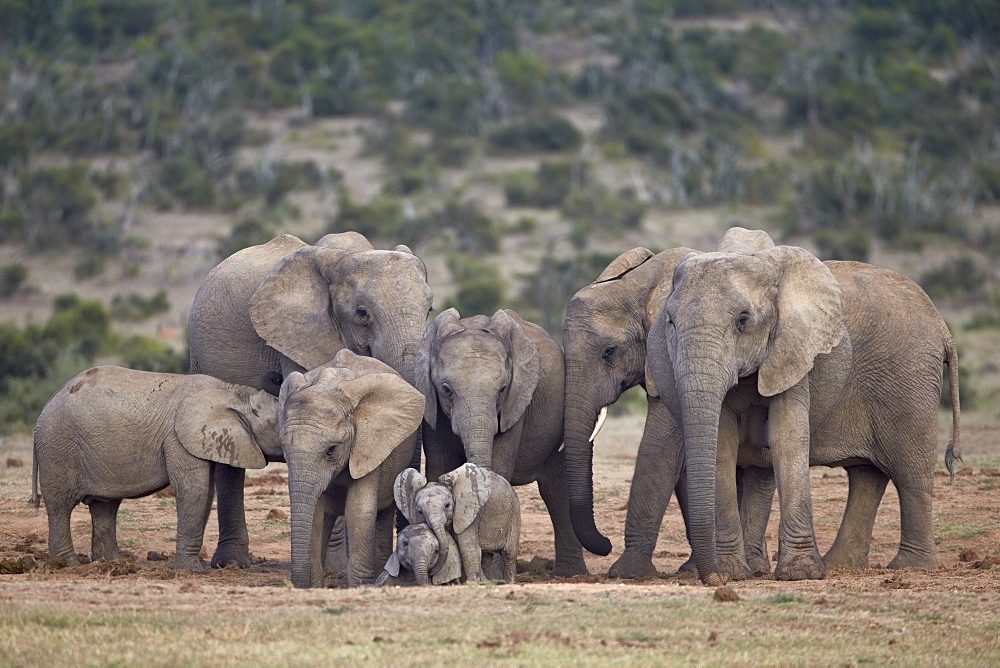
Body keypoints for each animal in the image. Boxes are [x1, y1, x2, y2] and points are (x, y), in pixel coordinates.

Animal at [31, 366, 282, 568]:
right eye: (276, 424)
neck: (234, 392)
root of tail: (47, 403)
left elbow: (206, 491)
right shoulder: (178, 438)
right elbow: (193, 489)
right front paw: (193, 569)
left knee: (105, 505)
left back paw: (114, 562)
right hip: (58, 446)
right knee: (61, 506)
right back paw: (68, 565)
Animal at [278, 348, 426, 588]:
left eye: (331, 449)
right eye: (283, 449)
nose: (296, 585)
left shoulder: (368, 445)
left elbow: (359, 511)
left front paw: (360, 587)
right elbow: (315, 512)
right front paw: (315, 587)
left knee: (382, 513)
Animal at [418, 308, 588, 576]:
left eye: (502, 389)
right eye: (446, 389)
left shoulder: (515, 405)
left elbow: (499, 466)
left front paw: (492, 573)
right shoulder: (432, 408)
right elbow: (438, 465)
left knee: (556, 491)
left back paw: (568, 573)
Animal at [644, 231, 964, 584]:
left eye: (743, 320)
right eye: (670, 322)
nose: (714, 580)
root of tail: (942, 327)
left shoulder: (796, 349)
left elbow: (787, 437)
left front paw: (800, 574)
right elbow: (722, 444)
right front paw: (735, 573)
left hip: (908, 377)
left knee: (910, 471)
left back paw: (910, 567)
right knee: (868, 474)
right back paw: (841, 565)